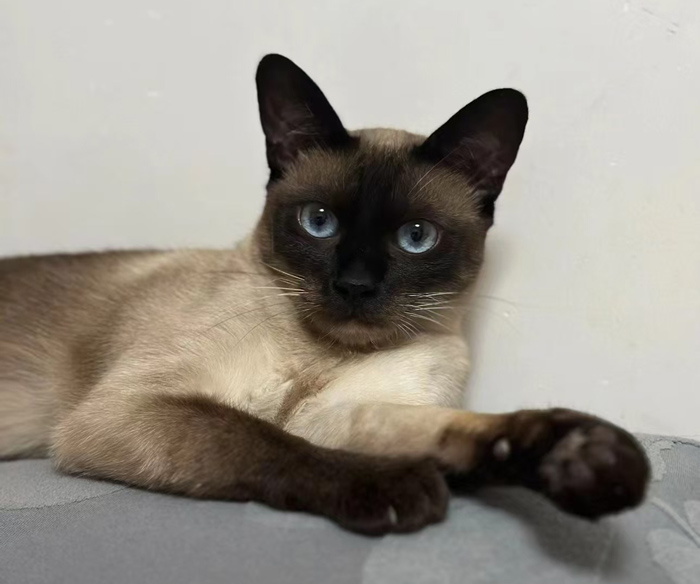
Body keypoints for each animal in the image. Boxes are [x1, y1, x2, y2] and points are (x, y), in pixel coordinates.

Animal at [0, 53, 648, 532]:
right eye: (319, 222)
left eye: (416, 237)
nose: (354, 285)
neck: (322, 355)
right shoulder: (132, 408)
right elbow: (263, 438)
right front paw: (397, 490)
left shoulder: (341, 416)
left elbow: (455, 432)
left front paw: (590, 462)